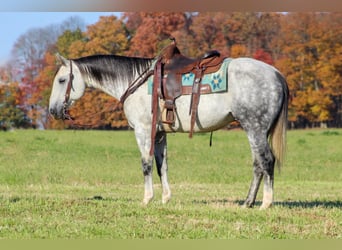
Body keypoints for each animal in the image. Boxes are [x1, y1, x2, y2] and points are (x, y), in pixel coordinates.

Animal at [48, 53, 288, 209]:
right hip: (255, 130)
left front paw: (147, 199)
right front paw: (165, 198)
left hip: (254, 127)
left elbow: (146, 165)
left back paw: (266, 203)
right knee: (258, 164)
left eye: (62, 80)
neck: (135, 82)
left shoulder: (143, 131)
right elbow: (161, 166)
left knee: (266, 161)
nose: (52, 110)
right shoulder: (160, 134)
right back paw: (248, 202)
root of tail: (276, 74)